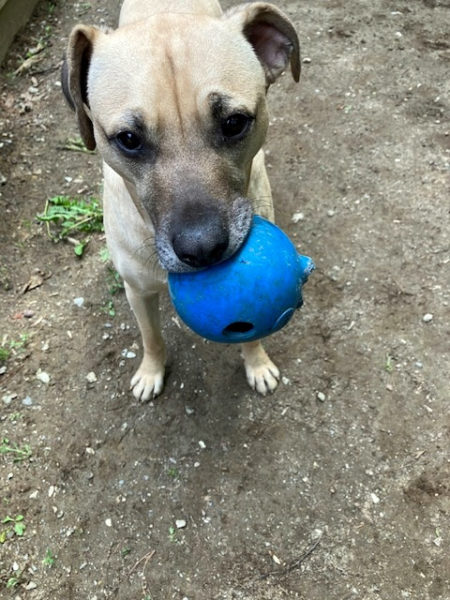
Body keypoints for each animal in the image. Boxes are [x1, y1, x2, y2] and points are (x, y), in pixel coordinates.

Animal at [61, 1, 300, 404]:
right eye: (128, 139)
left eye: (234, 122)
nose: (202, 250)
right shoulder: (137, 292)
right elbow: (151, 338)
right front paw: (151, 371)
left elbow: (254, 334)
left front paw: (257, 363)